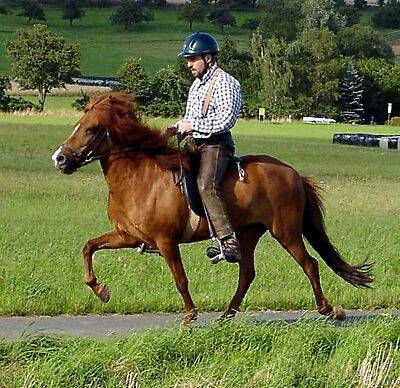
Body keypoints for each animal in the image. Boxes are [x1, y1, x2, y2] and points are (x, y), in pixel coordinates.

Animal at [51, 93, 374, 324]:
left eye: (90, 128)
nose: (60, 158)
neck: (139, 176)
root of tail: (293, 173)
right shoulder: (127, 236)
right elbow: (89, 247)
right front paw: (101, 290)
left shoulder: (166, 241)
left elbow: (180, 279)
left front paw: (190, 317)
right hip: (248, 233)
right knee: (247, 273)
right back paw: (226, 315)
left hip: (286, 232)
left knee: (309, 264)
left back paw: (329, 309)